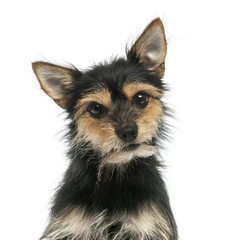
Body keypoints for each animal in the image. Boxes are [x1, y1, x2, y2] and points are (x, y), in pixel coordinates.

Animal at [32, 17, 177, 240]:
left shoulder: (147, 227)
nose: (128, 132)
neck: (114, 176)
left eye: (140, 98)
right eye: (96, 108)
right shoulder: (71, 226)